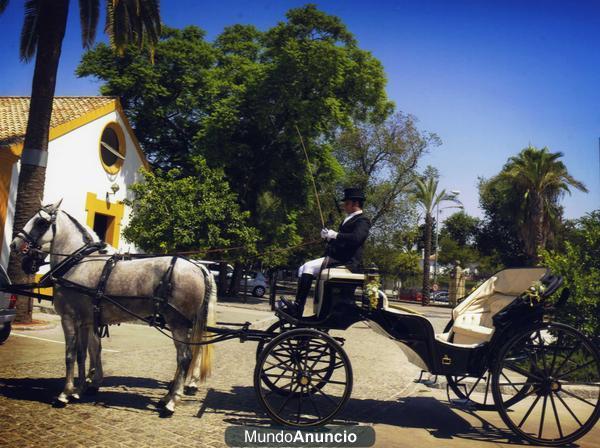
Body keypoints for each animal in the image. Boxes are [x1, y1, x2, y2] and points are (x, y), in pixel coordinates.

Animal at [10, 201, 217, 414]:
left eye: (40, 222)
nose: (14, 244)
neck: (79, 264)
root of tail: (198, 268)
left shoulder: (68, 318)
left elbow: (70, 355)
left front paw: (65, 394)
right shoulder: (85, 321)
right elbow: (83, 354)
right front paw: (80, 389)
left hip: (178, 323)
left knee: (185, 357)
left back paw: (172, 400)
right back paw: (169, 395)